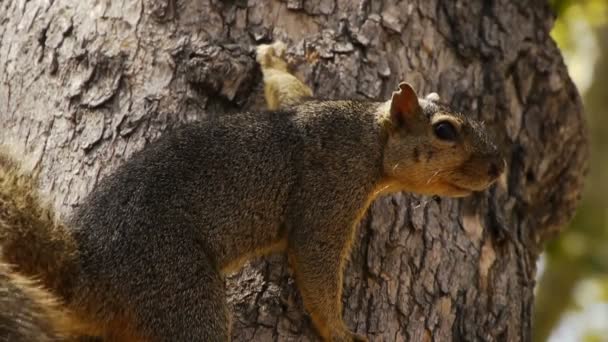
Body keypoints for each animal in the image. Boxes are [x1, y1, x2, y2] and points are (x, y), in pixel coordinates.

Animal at [0, 41, 504, 340]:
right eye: (444, 131)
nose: (499, 167)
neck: (367, 136)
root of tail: (86, 281)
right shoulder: (328, 190)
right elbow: (316, 264)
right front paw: (341, 332)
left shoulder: (306, 107)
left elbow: (288, 89)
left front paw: (272, 59)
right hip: (176, 287)